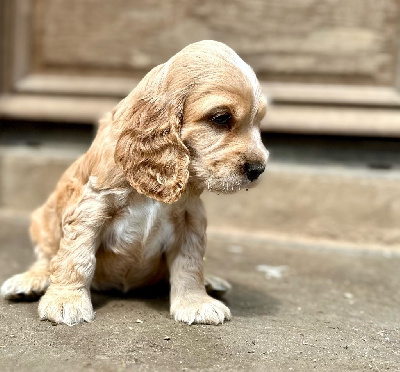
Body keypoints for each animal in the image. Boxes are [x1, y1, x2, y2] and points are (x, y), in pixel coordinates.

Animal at [1, 40, 268, 326]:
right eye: (221, 118)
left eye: (258, 123)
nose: (258, 169)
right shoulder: (91, 206)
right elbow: (76, 257)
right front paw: (65, 300)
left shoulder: (191, 218)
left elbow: (189, 263)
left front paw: (196, 302)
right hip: (43, 220)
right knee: (46, 257)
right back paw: (30, 281)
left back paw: (211, 281)